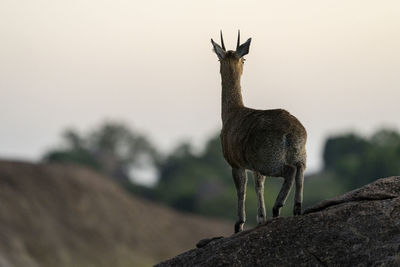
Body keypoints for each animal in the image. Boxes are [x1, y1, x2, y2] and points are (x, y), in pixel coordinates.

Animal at [212, 30, 306, 232]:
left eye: (244, 59)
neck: (231, 113)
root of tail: (293, 131)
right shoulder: (254, 168)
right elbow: (259, 186)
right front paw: (261, 218)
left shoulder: (236, 164)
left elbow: (242, 189)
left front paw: (239, 224)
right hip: (299, 156)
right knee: (300, 172)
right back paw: (296, 208)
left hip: (270, 161)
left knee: (290, 171)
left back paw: (277, 207)